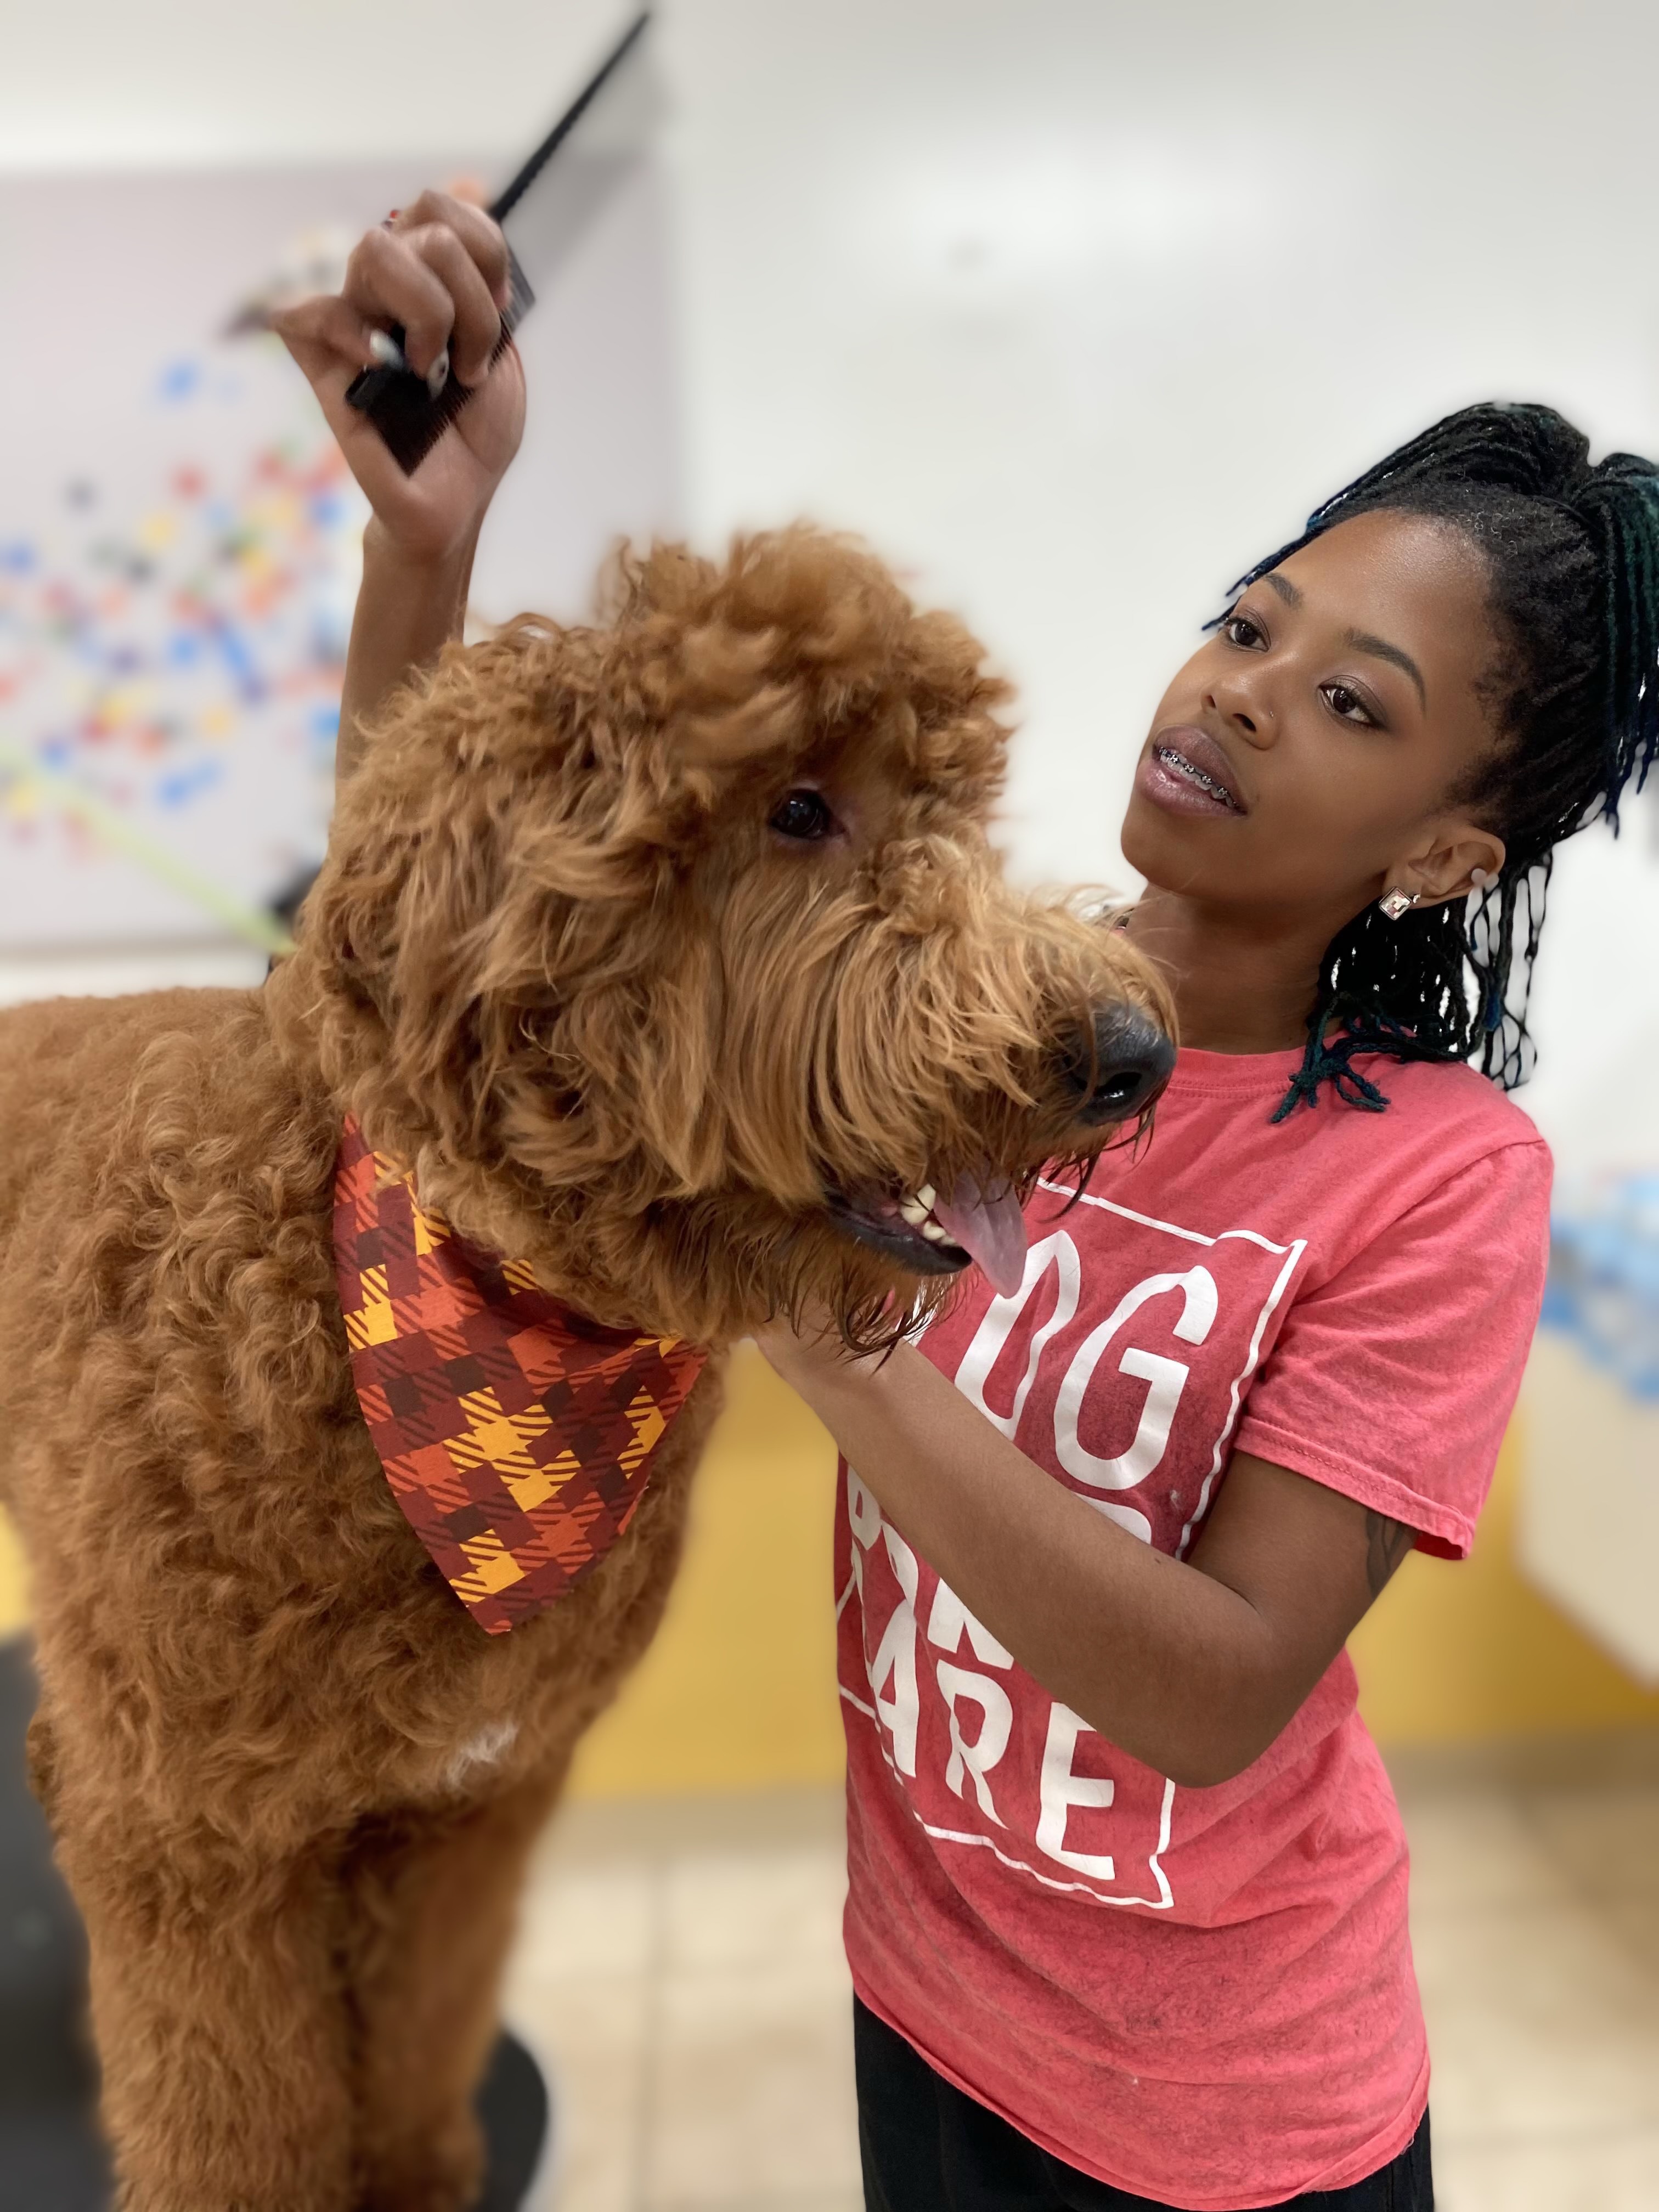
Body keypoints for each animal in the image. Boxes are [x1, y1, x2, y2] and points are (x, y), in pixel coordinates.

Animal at [0, 526, 1177, 2203]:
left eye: (952, 809)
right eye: (797, 808)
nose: (1136, 1053)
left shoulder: (471, 1806)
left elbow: (427, 2025)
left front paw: (422, 2175)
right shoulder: (189, 1846)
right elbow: (232, 2125)